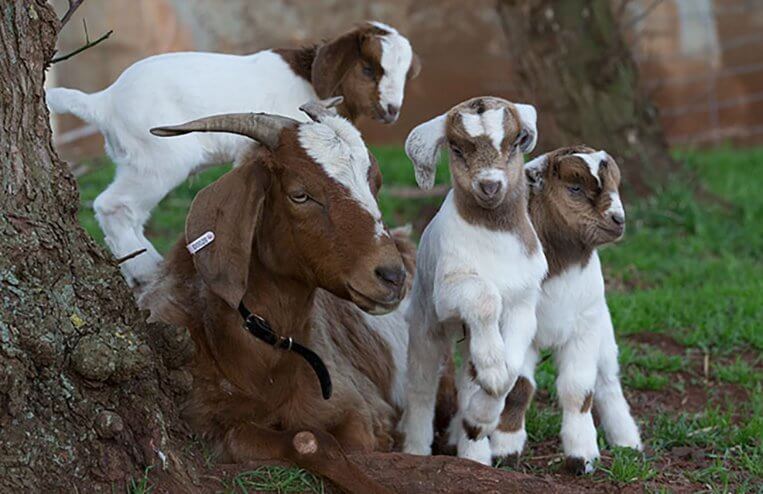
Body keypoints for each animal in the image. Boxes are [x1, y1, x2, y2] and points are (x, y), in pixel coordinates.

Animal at [47, 21, 420, 287]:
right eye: (369, 70)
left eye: (404, 75)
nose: (391, 111)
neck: (306, 75)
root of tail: (105, 101)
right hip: (157, 160)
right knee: (114, 205)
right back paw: (147, 271)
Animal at [139, 101, 416, 473]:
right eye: (300, 194)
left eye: (376, 184)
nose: (392, 275)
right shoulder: (203, 418)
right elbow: (252, 438)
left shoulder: (356, 402)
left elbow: (354, 442)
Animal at [399, 96, 547, 465]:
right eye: (456, 148)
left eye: (516, 141)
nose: (490, 185)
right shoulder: (448, 289)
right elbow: (484, 296)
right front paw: (492, 373)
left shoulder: (524, 302)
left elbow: (510, 371)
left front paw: (480, 421)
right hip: (425, 321)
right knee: (421, 383)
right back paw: (417, 449)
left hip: (466, 339)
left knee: (467, 377)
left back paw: (473, 453)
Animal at [492, 146, 642, 474]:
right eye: (574, 188)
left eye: (615, 184)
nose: (618, 219)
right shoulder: (520, 329)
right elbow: (518, 388)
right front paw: (503, 452)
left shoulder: (585, 329)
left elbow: (579, 389)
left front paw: (582, 457)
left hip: (603, 327)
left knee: (608, 381)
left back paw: (628, 441)